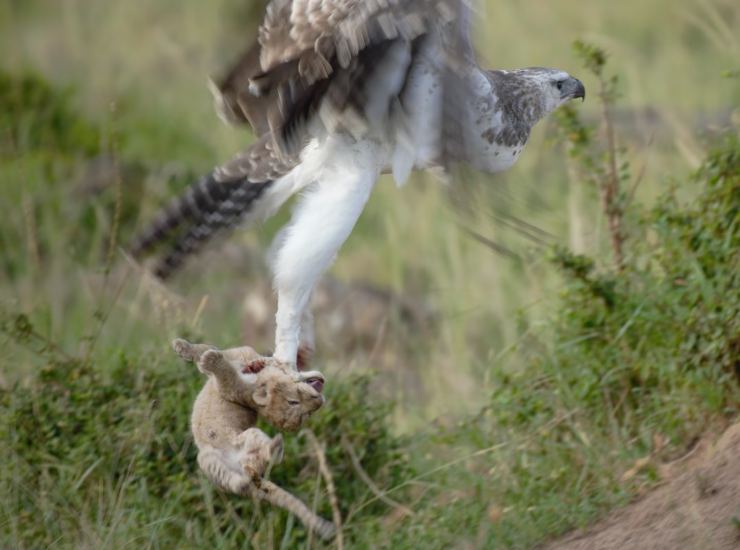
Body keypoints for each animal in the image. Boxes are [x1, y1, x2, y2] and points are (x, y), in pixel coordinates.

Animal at [173, 339, 334, 540]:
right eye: (293, 402)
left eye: (307, 415)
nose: (318, 401)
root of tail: (243, 465)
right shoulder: (236, 370)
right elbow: (204, 350)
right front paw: (183, 347)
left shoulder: (233, 387)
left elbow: (223, 370)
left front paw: (208, 358)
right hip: (207, 459)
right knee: (235, 483)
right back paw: (245, 477)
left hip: (249, 436)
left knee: (262, 460)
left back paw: (275, 447)